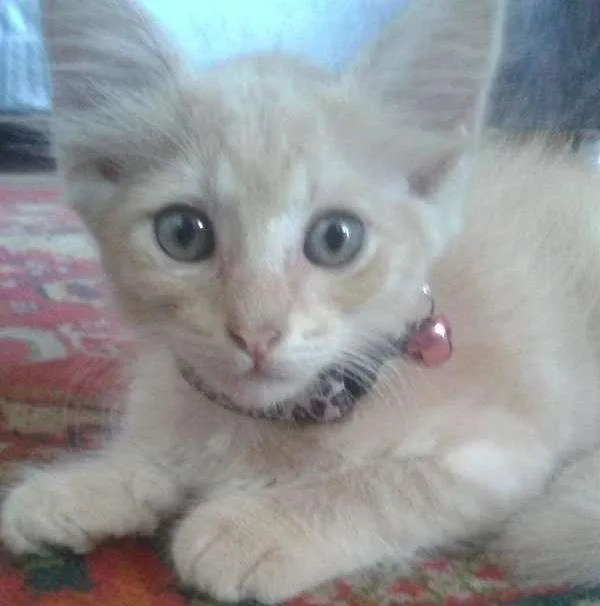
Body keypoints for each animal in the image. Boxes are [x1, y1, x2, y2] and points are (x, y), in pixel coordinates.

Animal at [4, 0, 600, 601]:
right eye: (183, 234)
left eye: (336, 238)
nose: (256, 333)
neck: (273, 419)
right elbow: (158, 446)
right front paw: (87, 483)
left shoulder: (499, 453)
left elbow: (380, 484)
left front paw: (250, 528)